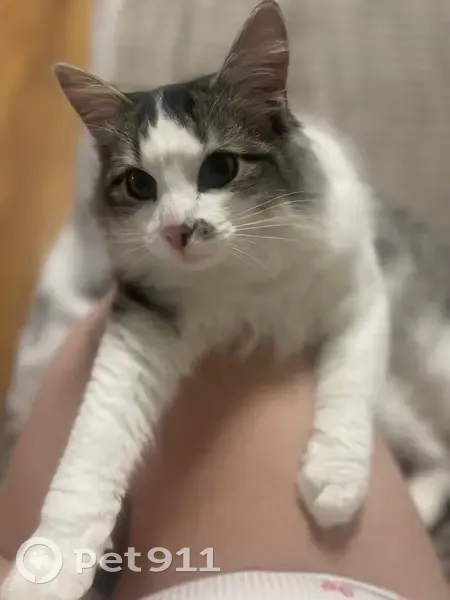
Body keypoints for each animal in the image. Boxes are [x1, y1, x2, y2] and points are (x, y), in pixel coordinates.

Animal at [0, 2, 389, 599]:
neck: (240, 275)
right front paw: (51, 567)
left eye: (220, 169)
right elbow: (92, 444)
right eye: (139, 185)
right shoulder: (144, 319)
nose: (177, 231)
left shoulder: (360, 293)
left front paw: (335, 482)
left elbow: (350, 382)